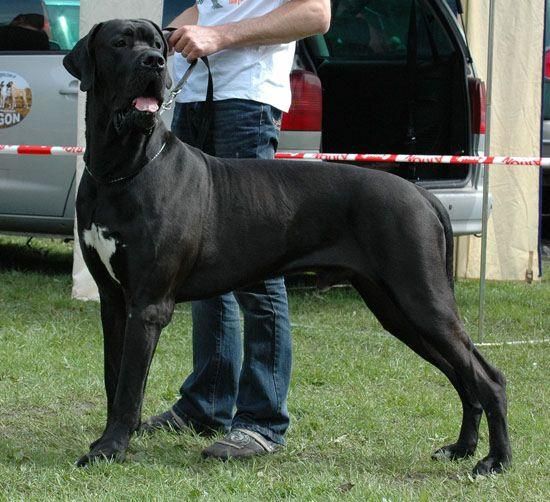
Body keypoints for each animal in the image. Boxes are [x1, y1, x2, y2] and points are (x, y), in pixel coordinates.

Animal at [63, 19, 511, 475]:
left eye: (158, 44)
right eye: (120, 43)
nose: (153, 62)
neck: (122, 169)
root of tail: (423, 195)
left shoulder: (148, 305)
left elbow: (128, 388)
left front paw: (109, 448)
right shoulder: (114, 300)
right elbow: (114, 377)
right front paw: (110, 440)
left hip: (422, 299)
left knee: (488, 378)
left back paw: (496, 459)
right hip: (396, 310)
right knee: (463, 376)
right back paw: (461, 448)